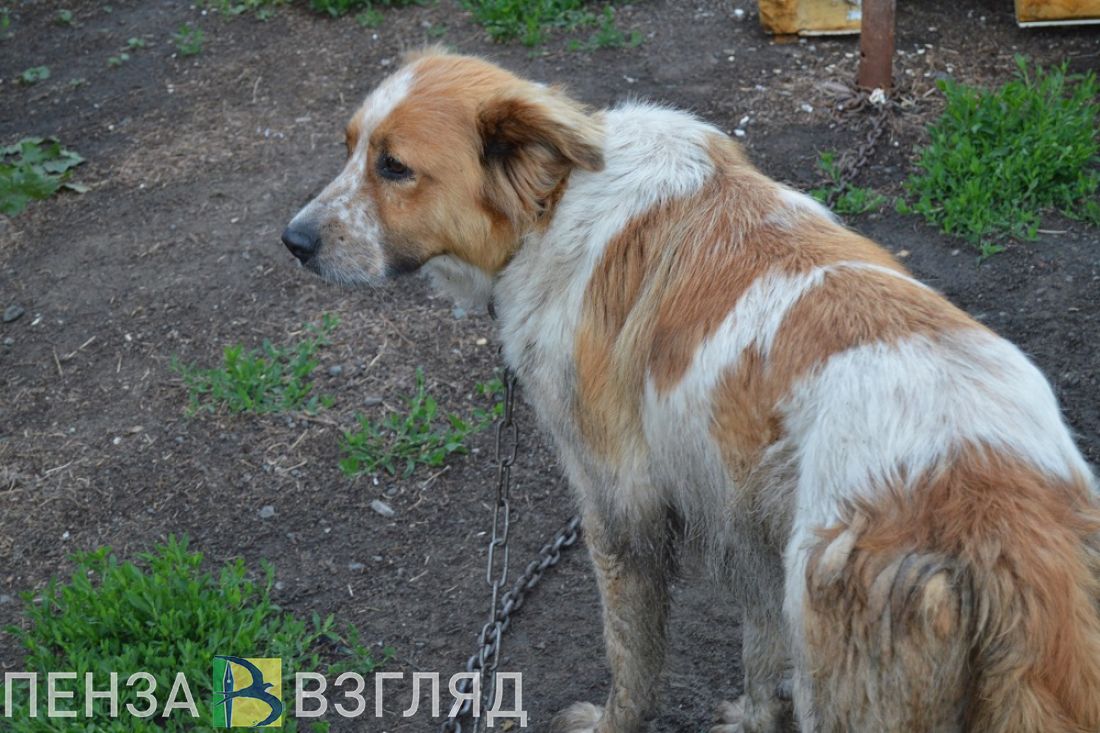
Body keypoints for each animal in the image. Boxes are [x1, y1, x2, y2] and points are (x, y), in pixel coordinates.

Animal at [281, 48, 1100, 726]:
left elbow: (633, 662)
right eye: (349, 148)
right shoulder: (749, 531)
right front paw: (751, 715)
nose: (293, 242)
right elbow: (759, 659)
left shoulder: (618, 508)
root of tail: (990, 499)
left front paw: (610, 722)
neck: (554, 202)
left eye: (394, 168)